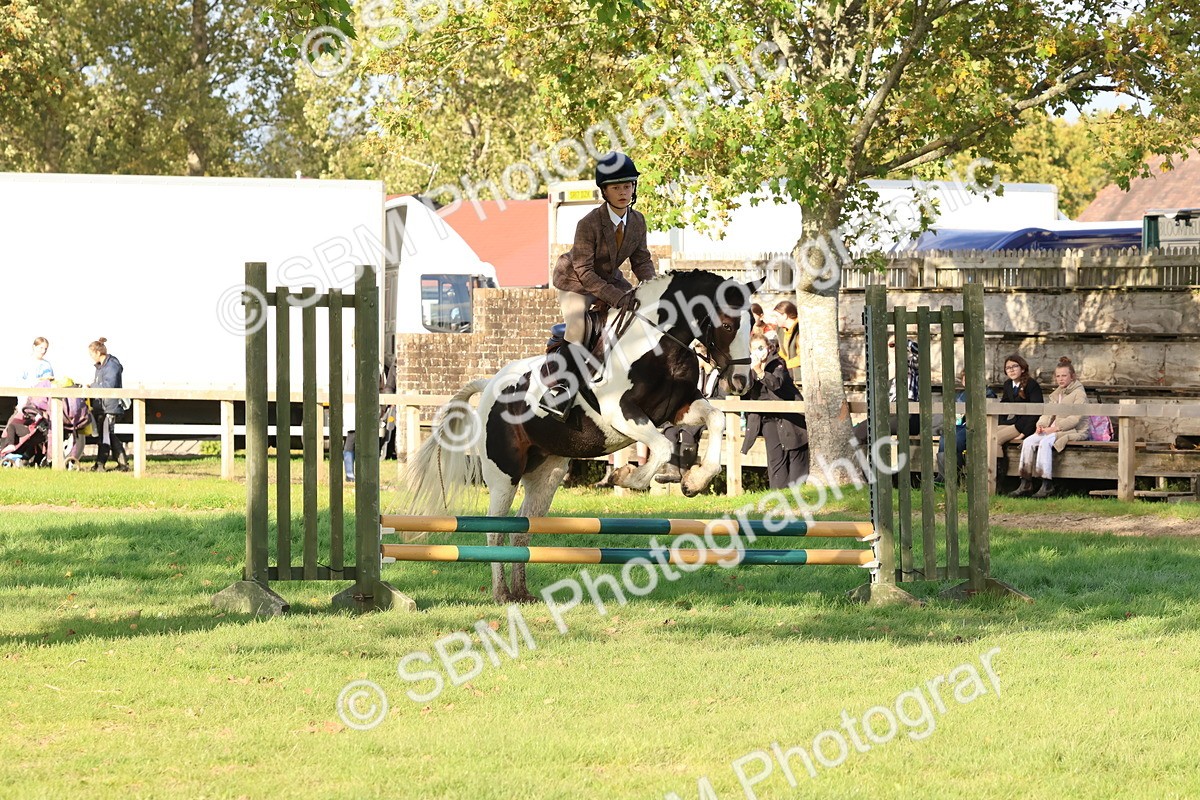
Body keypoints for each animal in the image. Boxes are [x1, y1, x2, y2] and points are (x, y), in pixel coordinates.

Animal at [403, 270, 762, 603]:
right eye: (727, 325)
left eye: (753, 323)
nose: (742, 381)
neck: (657, 344)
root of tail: (489, 383)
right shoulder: (619, 411)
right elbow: (661, 446)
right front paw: (625, 476)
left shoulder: (677, 408)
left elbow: (715, 420)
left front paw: (694, 482)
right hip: (504, 474)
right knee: (495, 532)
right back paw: (502, 593)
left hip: (546, 474)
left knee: (522, 532)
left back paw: (522, 593)